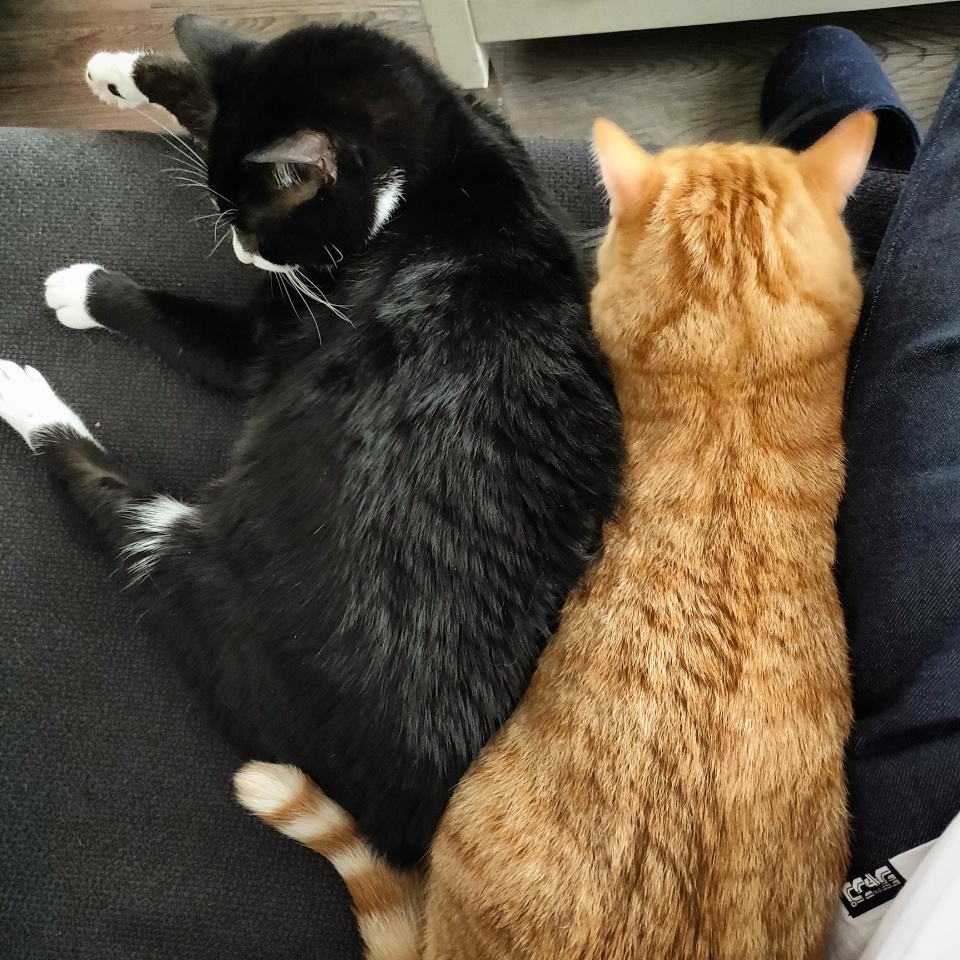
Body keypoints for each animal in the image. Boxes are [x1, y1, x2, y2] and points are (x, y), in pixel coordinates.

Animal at [0, 16, 623, 870]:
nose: (241, 252)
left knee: (107, 500)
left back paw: (22, 391)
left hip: (204, 567)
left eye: (260, 222)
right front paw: (126, 69)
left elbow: (178, 320)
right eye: (228, 211)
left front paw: (86, 289)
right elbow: (214, 98)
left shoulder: (275, 330)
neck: (442, 168)